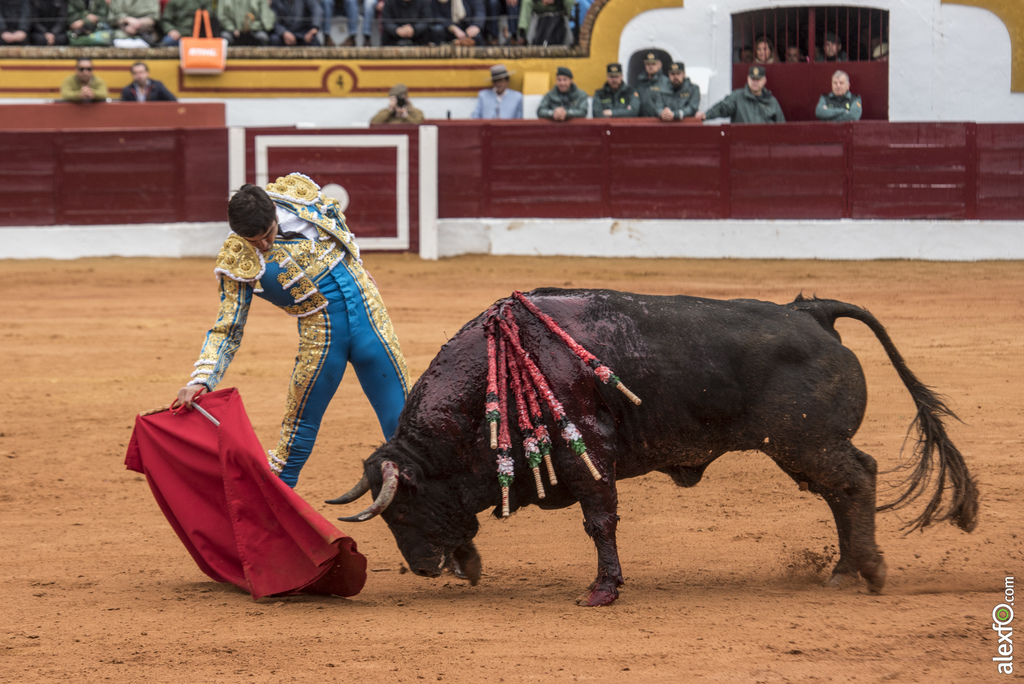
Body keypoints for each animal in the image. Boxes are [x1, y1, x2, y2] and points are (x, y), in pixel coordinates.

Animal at [331, 286, 978, 602]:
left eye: (403, 510)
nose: (422, 569)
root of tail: (811, 313)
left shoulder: (588, 454)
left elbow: (600, 521)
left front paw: (603, 590)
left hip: (808, 442)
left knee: (857, 478)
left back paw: (870, 569)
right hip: (802, 450)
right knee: (842, 493)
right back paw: (844, 570)